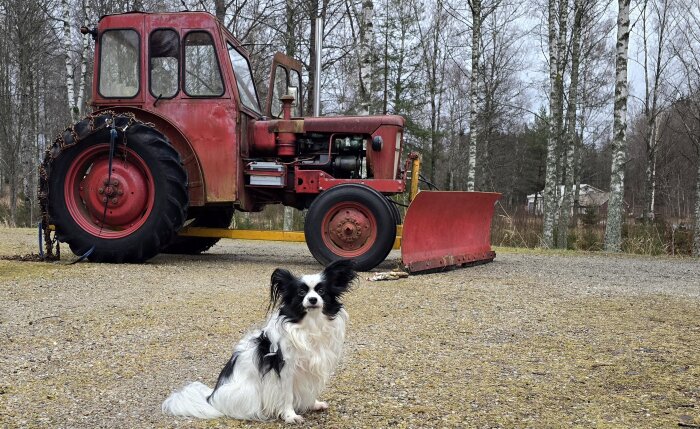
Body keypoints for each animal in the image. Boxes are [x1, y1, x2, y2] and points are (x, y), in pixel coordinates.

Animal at [163, 258, 356, 422]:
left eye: (321, 291)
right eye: (301, 292)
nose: (313, 299)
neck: (311, 325)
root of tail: (211, 398)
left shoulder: (308, 371)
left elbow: (308, 390)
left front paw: (313, 404)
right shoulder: (286, 370)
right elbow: (288, 395)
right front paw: (290, 416)